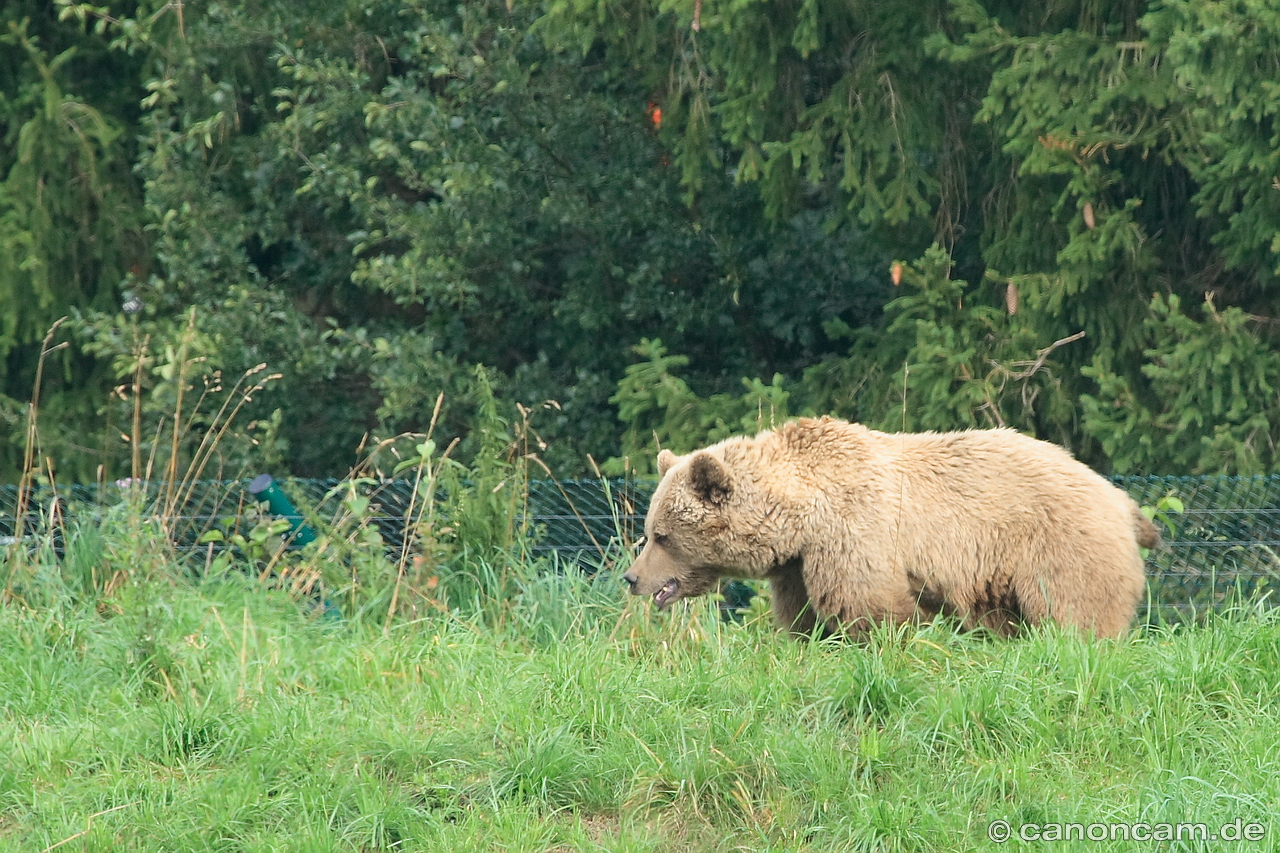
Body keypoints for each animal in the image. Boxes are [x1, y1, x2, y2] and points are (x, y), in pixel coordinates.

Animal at [624, 414, 1157, 635]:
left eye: (661, 535)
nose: (631, 577)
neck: (801, 519)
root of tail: (1120, 497)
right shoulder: (798, 566)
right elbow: (804, 618)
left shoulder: (855, 534)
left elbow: (873, 609)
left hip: (1059, 547)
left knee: (1077, 617)